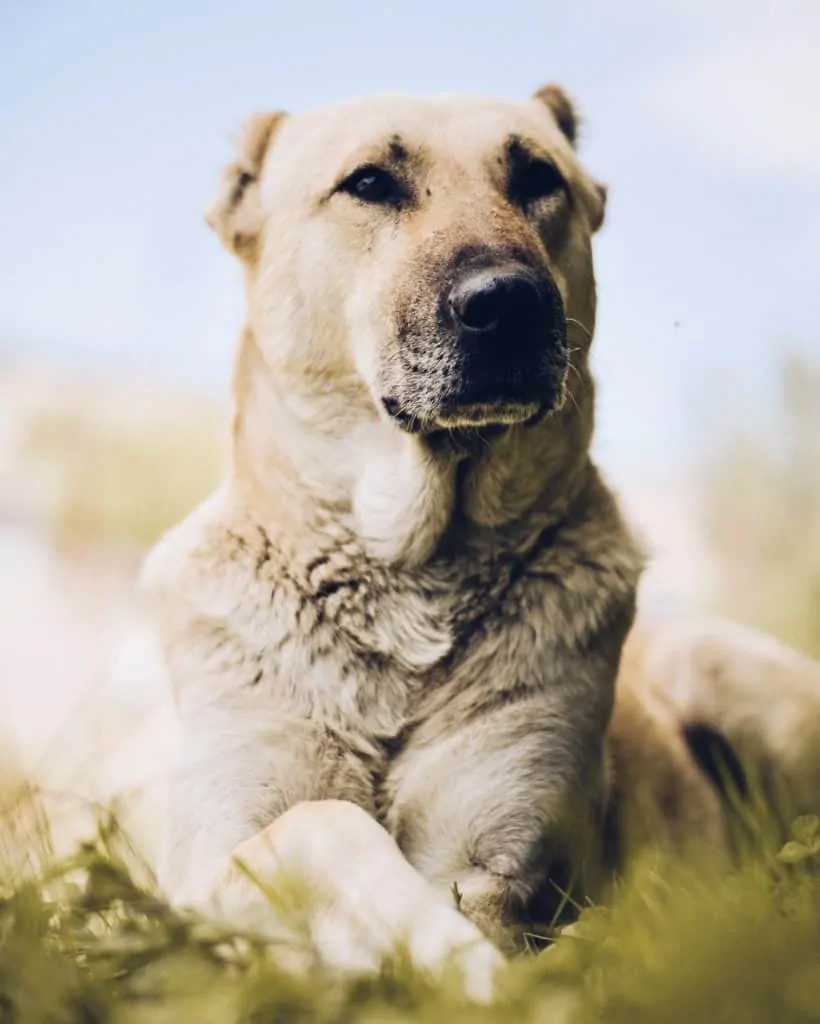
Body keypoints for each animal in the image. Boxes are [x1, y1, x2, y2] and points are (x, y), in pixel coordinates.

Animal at [142, 81, 818, 999]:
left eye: (537, 179)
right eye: (368, 183)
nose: (509, 303)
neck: (409, 575)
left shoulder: (495, 856)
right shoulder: (209, 859)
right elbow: (326, 823)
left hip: (726, 668)